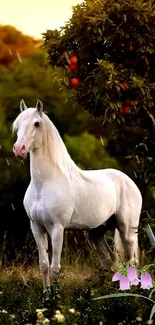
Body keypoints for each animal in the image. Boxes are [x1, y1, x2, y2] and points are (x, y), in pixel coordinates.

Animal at [12, 98, 142, 292]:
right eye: (18, 123)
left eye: (36, 123)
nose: (19, 149)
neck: (44, 185)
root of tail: (130, 182)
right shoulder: (36, 227)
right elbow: (43, 265)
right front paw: (45, 296)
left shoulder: (57, 229)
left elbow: (55, 268)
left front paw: (55, 298)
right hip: (96, 234)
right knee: (112, 261)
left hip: (127, 230)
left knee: (132, 262)